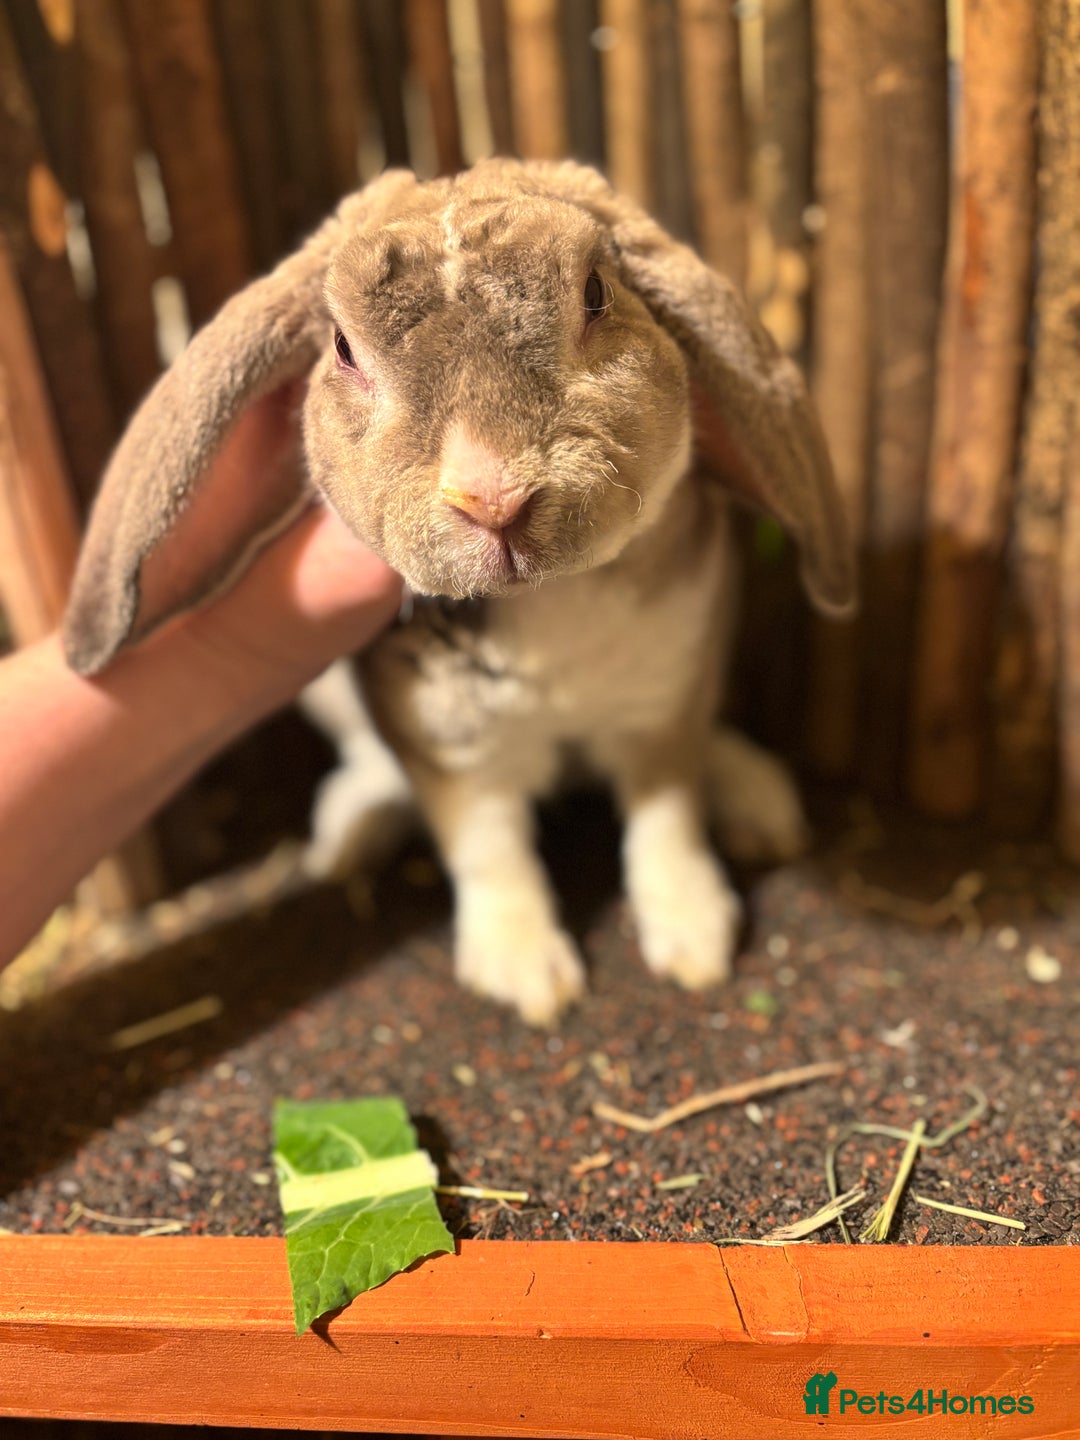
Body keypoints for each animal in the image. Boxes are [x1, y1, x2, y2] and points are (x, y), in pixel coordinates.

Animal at [63, 158, 854, 1027]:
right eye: (342, 347)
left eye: (595, 293)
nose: (493, 496)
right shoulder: (450, 751)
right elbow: (488, 848)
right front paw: (527, 977)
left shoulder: (663, 706)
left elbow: (665, 819)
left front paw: (695, 943)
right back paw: (348, 838)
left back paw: (759, 803)